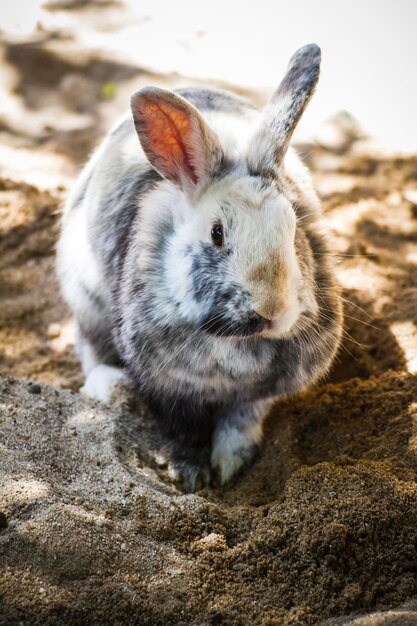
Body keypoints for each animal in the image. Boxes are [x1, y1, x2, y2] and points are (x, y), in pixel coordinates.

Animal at [57, 45, 342, 492]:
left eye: (294, 227)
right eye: (217, 233)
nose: (272, 310)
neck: (230, 341)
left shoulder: (255, 397)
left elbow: (240, 421)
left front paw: (229, 468)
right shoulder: (162, 385)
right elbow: (180, 427)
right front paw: (189, 476)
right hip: (86, 299)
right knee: (89, 348)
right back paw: (109, 387)